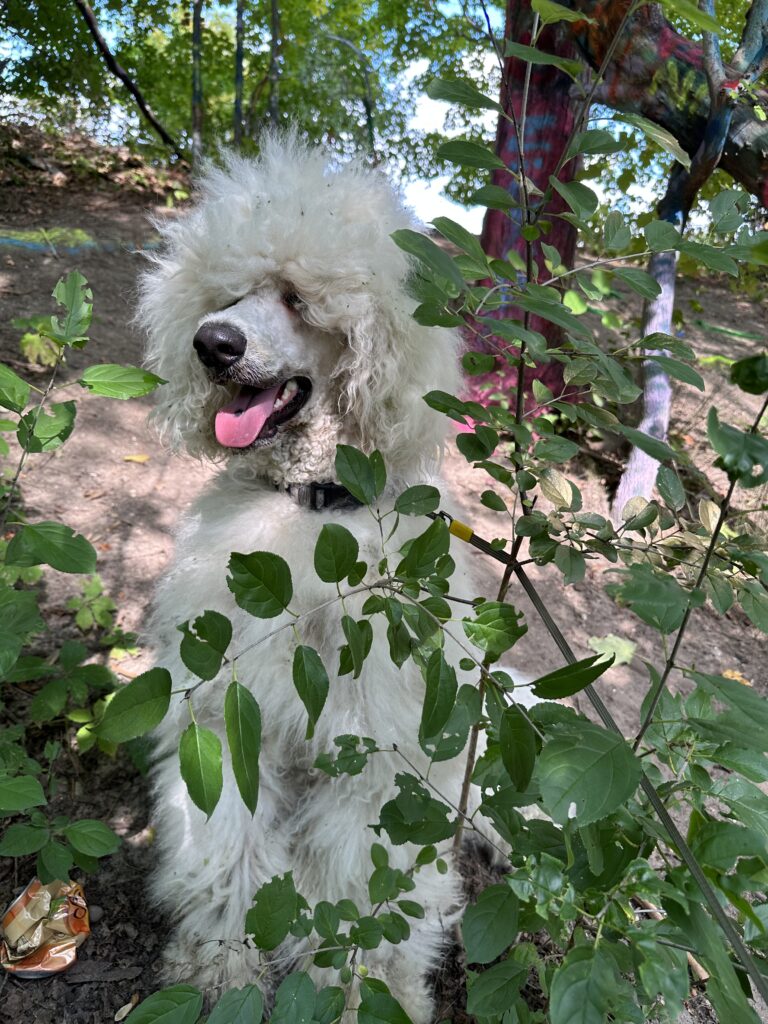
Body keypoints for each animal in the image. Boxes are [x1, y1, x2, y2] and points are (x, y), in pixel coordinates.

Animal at [139, 133, 530, 1021]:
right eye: (228, 292)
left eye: (297, 298)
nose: (211, 343)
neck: (311, 505)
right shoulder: (228, 718)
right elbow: (225, 849)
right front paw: (222, 969)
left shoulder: (380, 758)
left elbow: (362, 889)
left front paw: (359, 993)